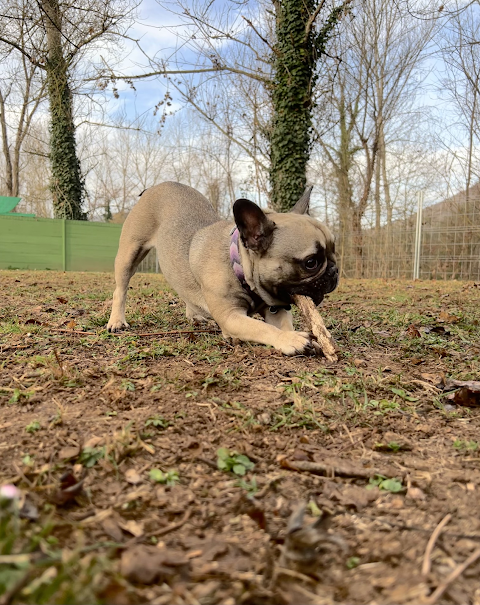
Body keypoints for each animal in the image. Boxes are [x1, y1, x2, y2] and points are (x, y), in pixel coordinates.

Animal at [106, 182, 338, 356]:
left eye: (334, 249)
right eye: (311, 262)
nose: (334, 271)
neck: (239, 267)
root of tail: (154, 187)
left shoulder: (276, 310)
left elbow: (278, 323)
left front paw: (299, 336)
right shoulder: (230, 317)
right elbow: (261, 328)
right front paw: (291, 339)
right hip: (129, 253)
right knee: (120, 290)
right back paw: (116, 321)